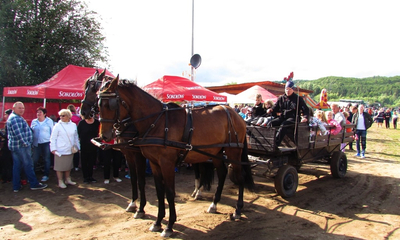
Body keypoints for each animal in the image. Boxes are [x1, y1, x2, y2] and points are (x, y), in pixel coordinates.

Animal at [80, 71, 148, 218]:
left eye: (93, 89)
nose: (83, 112)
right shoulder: (128, 154)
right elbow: (133, 178)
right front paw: (133, 203)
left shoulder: (138, 155)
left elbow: (141, 179)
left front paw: (141, 208)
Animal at [97, 76, 253, 236]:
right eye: (99, 104)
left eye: (110, 104)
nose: (104, 135)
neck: (157, 122)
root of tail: (234, 113)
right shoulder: (154, 163)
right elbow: (160, 191)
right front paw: (157, 222)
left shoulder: (166, 163)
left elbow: (170, 192)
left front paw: (169, 225)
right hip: (216, 153)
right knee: (222, 174)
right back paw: (214, 204)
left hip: (234, 152)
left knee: (240, 177)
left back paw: (238, 209)